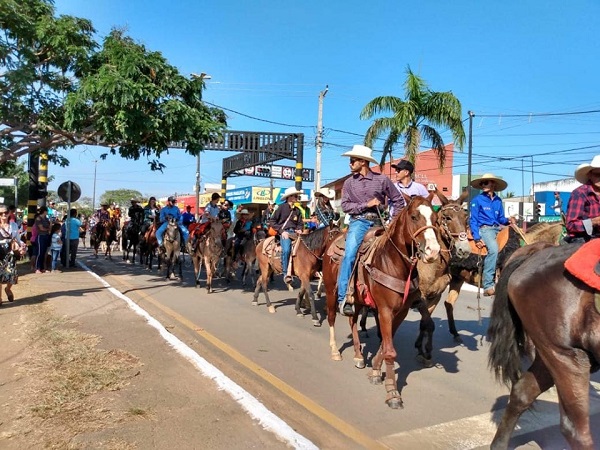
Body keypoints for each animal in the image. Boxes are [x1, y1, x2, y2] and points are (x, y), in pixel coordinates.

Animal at [324, 196, 440, 408]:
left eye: (435, 218)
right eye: (414, 216)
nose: (433, 251)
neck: (394, 264)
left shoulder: (400, 312)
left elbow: (385, 344)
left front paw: (376, 372)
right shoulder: (385, 310)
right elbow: (390, 351)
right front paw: (393, 393)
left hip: (357, 301)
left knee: (353, 321)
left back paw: (358, 356)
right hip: (330, 291)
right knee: (331, 318)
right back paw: (335, 350)